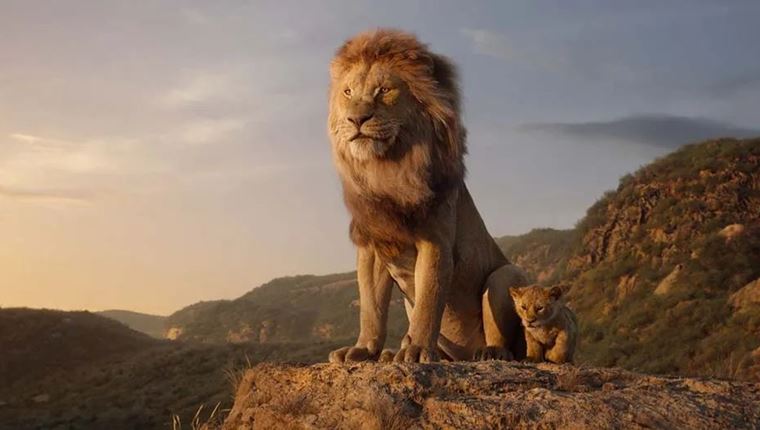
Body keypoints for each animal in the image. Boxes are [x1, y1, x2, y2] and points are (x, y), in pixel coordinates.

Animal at [326, 29, 528, 363]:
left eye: (384, 90)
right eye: (348, 92)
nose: (357, 119)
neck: (387, 169)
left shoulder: (436, 242)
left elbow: (429, 301)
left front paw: (418, 349)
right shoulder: (373, 246)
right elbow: (371, 308)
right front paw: (364, 349)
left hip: (506, 275)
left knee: (507, 340)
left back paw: (489, 352)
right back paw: (392, 352)